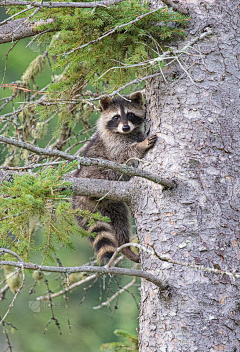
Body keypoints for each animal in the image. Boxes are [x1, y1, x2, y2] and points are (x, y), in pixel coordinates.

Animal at [72, 92, 157, 262]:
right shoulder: (112, 144)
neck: (126, 133)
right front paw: (141, 144)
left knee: (120, 222)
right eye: (116, 117)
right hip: (93, 174)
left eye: (130, 114)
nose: (125, 127)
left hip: (113, 205)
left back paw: (124, 247)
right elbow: (123, 156)